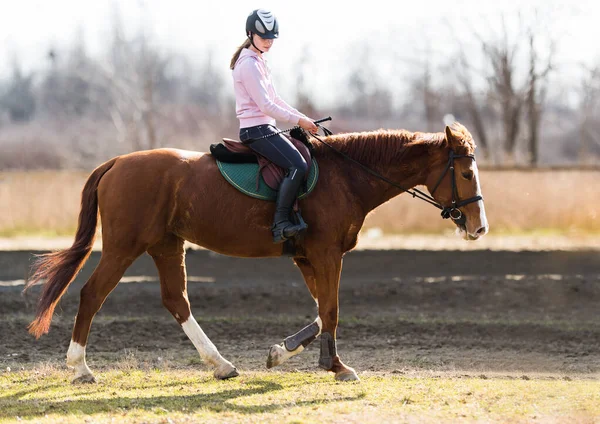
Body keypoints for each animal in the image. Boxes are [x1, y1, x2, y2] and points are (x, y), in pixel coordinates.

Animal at [27, 122, 488, 384]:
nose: (479, 227)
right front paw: (336, 366)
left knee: (176, 300)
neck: (346, 176)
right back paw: (80, 369)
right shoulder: (326, 254)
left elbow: (322, 310)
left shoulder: (309, 257)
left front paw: (285, 352)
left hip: (166, 245)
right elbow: (332, 309)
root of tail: (118, 161)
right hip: (125, 247)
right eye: (466, 172)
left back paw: (220, 364)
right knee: (92, 294)